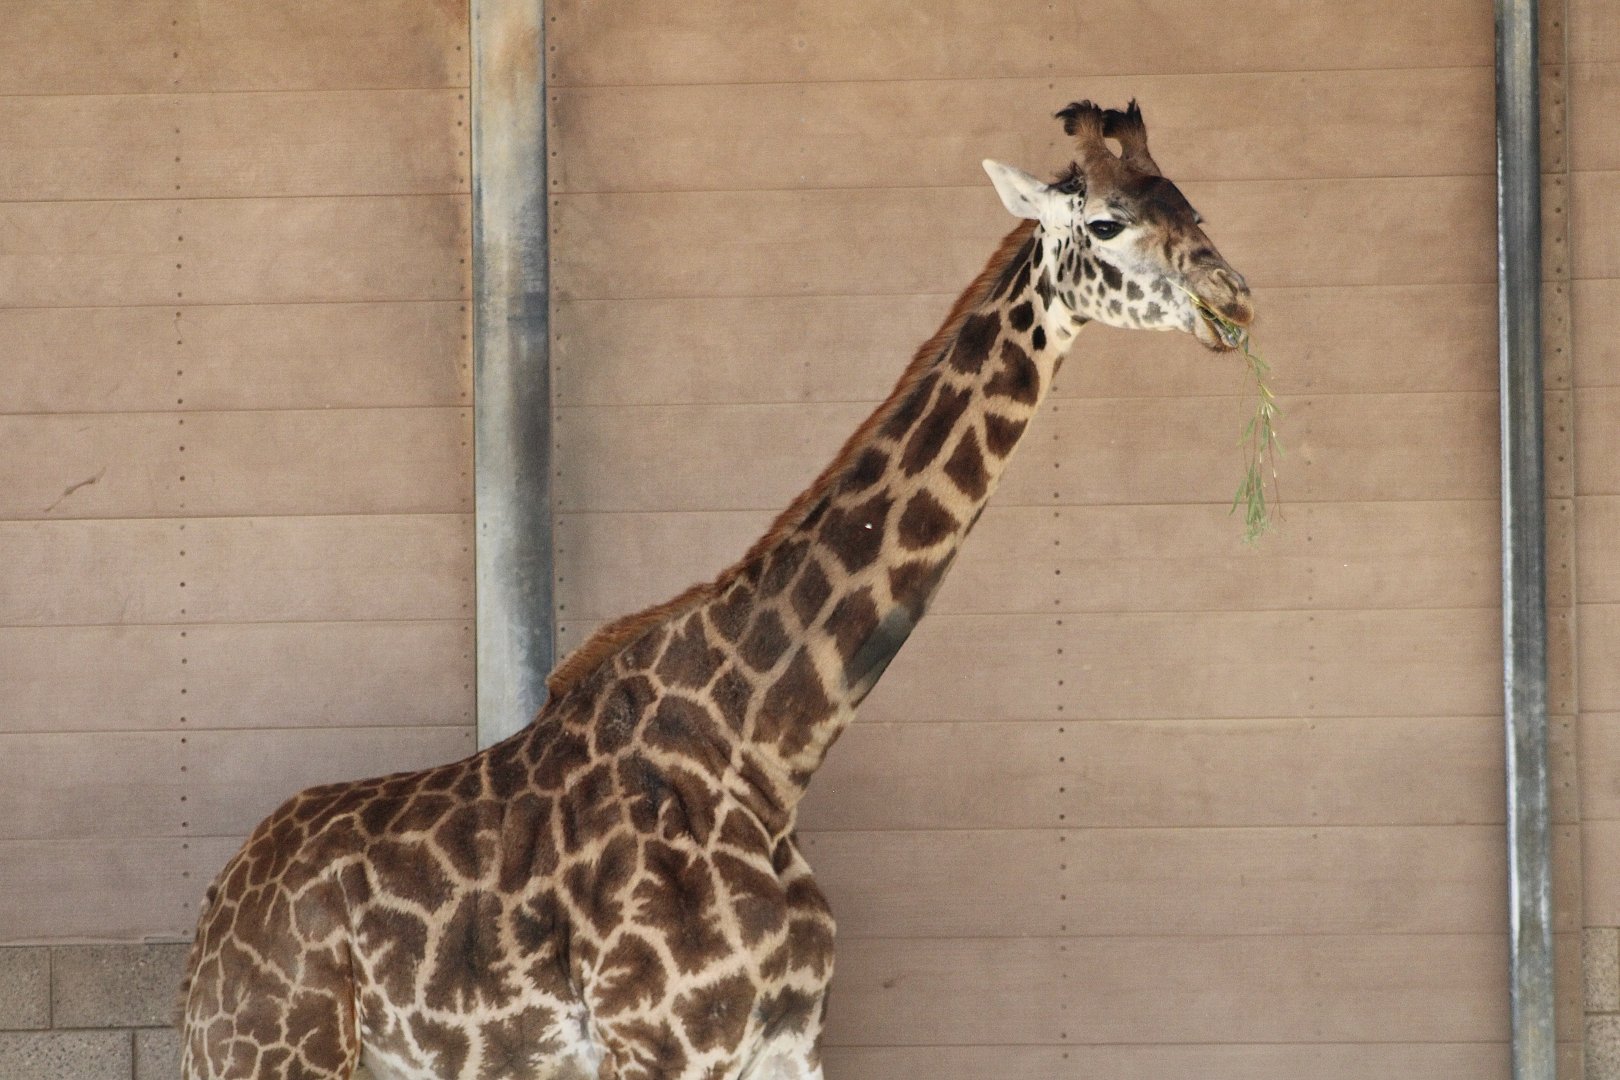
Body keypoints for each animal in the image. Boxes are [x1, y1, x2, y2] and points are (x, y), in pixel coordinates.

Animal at [179, 100, 1252, 1080]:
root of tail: (211, 924)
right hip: (271, 1054)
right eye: (1105, 223)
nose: (1233, 299)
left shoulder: (787, 1046)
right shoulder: (660, 1046)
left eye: (1191, 205)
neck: (773, 752)